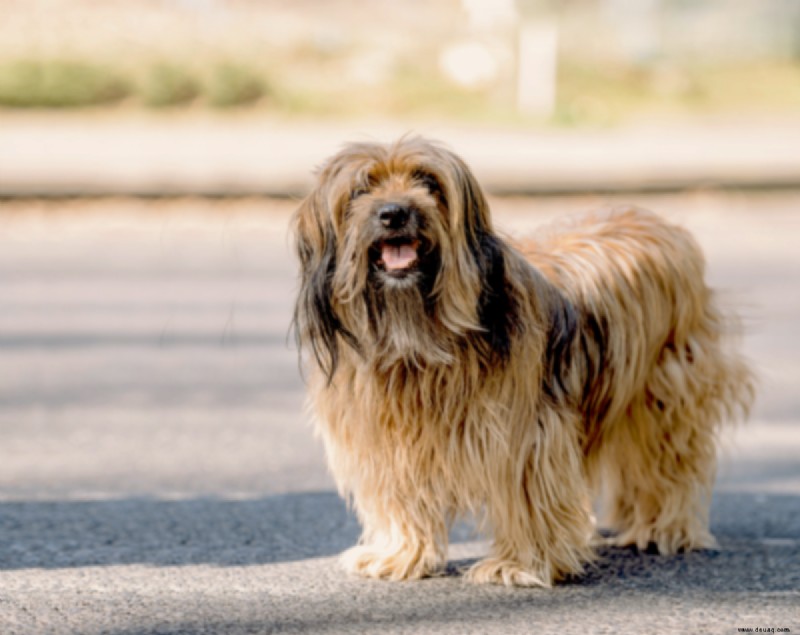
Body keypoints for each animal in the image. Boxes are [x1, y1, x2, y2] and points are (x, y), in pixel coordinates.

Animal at [290, 137, 752, 588]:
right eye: (361, 189)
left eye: (429, 183)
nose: (394, 213)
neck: (417, 337)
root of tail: (656, 219)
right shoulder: (385, 437)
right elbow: (399, 495)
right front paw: (399, 553)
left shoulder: (524, 433)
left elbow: (525, 492)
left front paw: (518, 564)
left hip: (667, 388)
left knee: (667, 460)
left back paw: (662, 527)